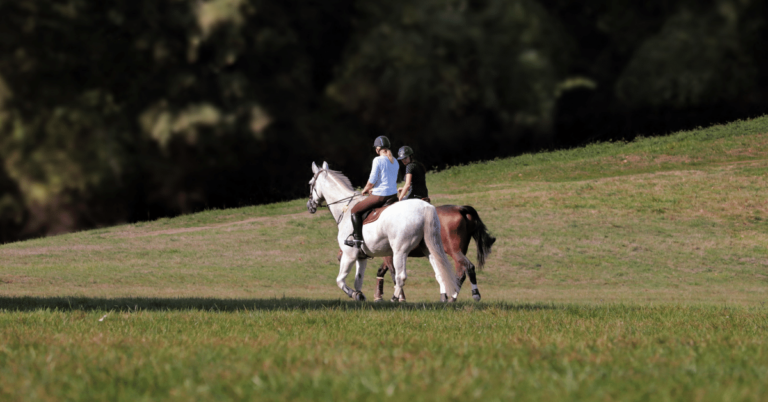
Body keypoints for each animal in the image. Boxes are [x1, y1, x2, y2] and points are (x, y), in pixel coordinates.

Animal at [306, 161, 456, 302]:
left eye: (310, 183)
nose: (309, 206)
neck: (345, 209)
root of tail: (425, 207)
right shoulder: (361, 257)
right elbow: (358, 281)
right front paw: (359, 295)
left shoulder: (349, 255)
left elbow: (340, 281)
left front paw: (354, 294)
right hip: (429, 248)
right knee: (440, 271)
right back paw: (445, 298)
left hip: (400, 251)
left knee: (400, 276)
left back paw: (394, 299)